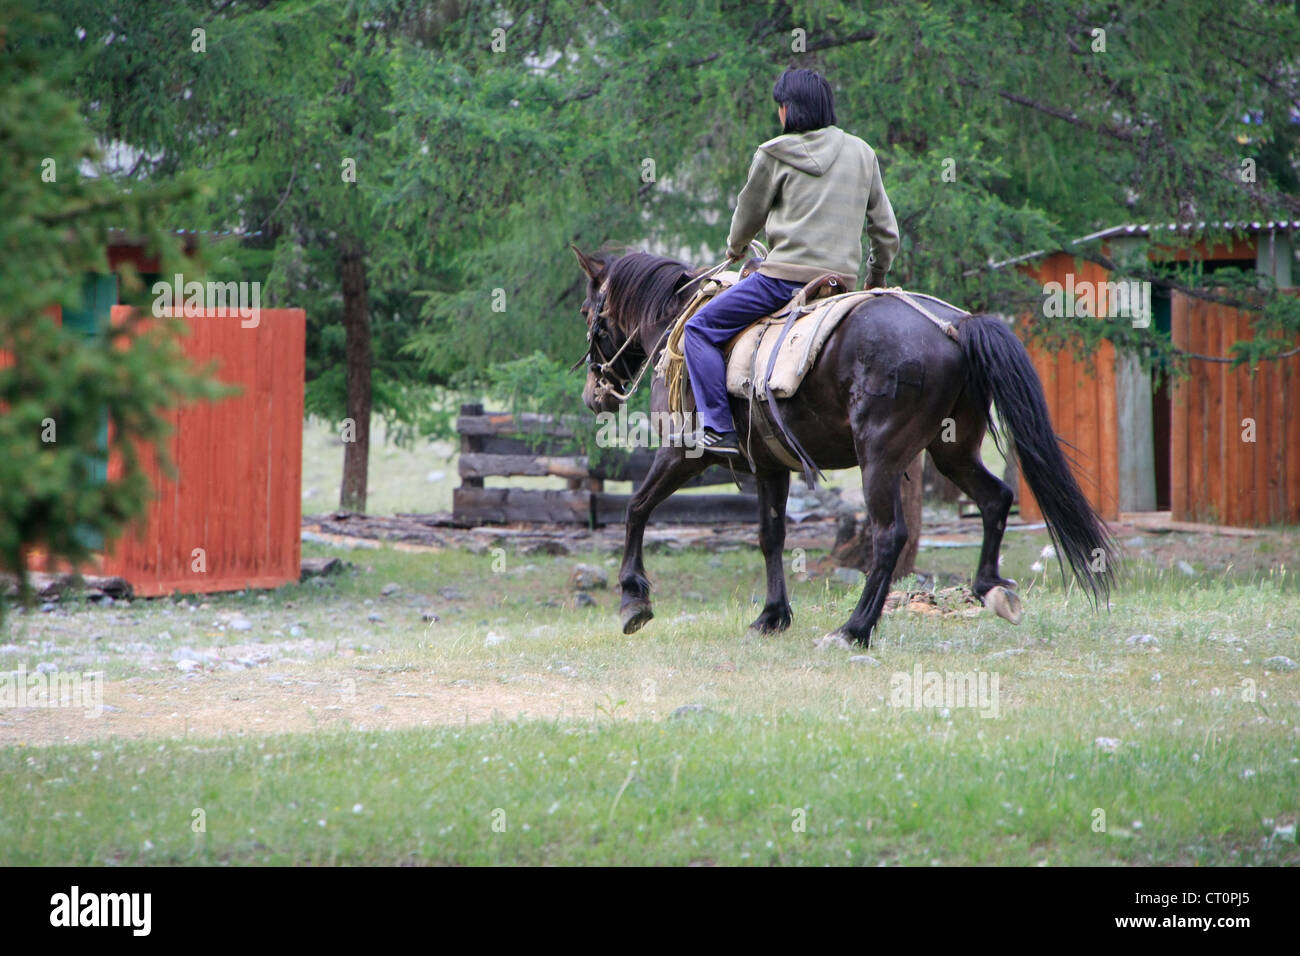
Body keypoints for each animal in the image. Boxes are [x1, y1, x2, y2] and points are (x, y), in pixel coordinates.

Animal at [569, 247, 1118, 650]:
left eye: (588, 312)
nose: (594, 395)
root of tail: (954, 326)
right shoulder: (770, 467)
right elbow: (771, 536)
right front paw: (772, 616)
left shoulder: (684, 454)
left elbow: (636, 509)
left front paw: (633, 600)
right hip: (952, 451)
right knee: (994, 499)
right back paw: (989, 589)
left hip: (880, 459)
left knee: (890, 537)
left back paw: (854, 629)